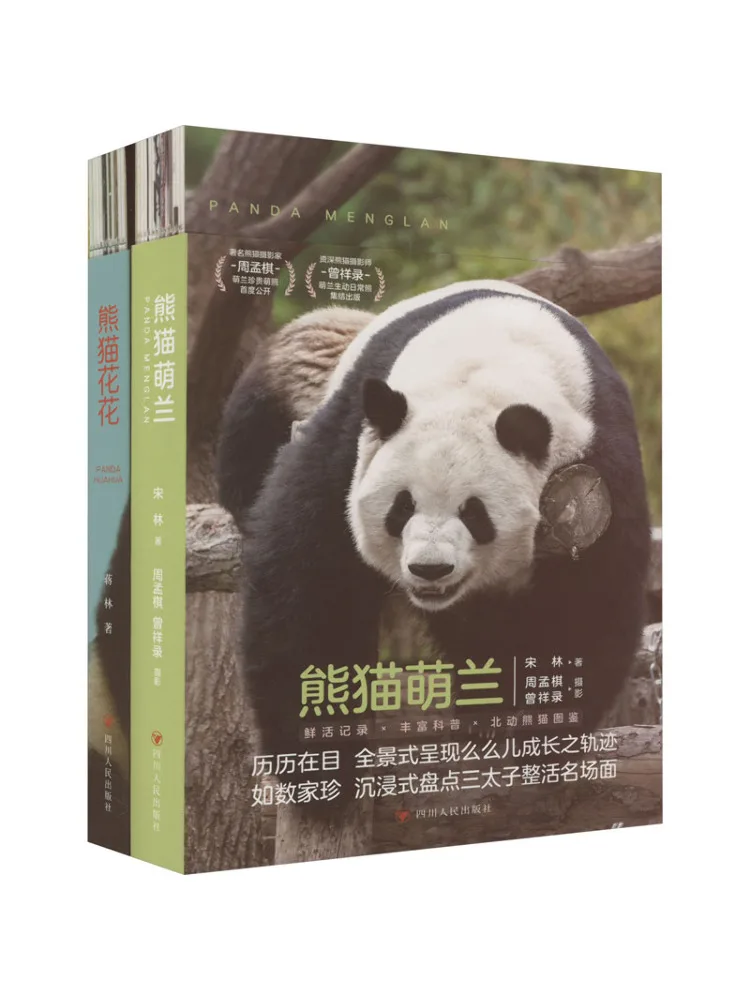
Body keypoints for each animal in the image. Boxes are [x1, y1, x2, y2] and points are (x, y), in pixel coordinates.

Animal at [217, 281, 651, 784]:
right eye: (401, 507)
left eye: (475, 514)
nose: (430, 569)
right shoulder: (354, 441)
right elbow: (310, 579)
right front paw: (319, 761)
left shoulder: (595, 472)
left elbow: (589, 603)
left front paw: (534, 731)